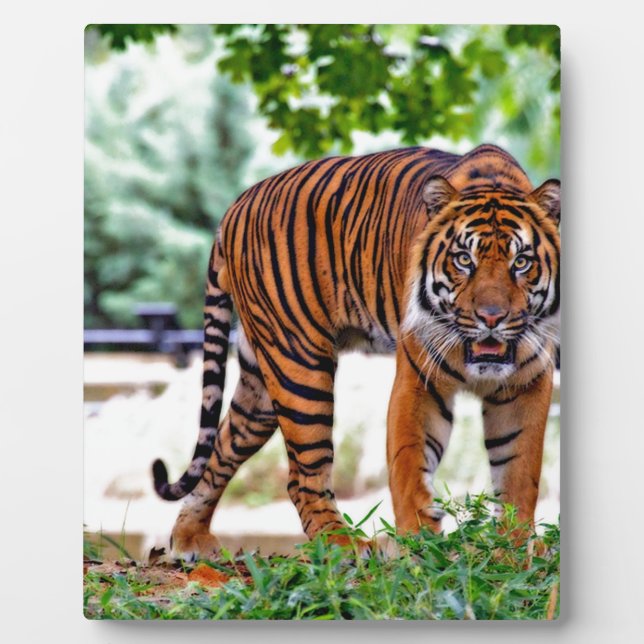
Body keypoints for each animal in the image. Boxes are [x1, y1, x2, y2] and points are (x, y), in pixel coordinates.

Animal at [152, 144, 560, 561]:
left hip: (261, 387)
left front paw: (514, 548)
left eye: (521, 262)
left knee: (222, 446)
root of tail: (236, 205)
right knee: (302, 475)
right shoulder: (419, 380)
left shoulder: (527, 384)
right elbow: (410, 464)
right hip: (299, 366)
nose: (491, 317)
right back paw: (343, 544)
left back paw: (190, 538)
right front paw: (421, 546)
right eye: (464, 259)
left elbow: (519, 471)